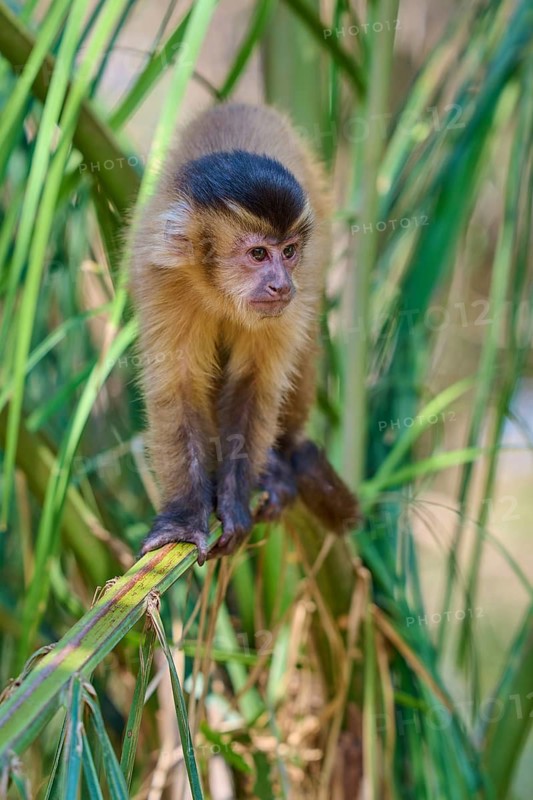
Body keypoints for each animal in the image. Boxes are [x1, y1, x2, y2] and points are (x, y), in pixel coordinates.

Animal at [130, 103, 358, 565]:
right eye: (257, 254)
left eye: (288, 252)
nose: (280, 284)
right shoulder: (163, 275)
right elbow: (178, 387)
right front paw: (185, 518)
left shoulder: (295, 289)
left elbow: (255, 384)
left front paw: (235, 502)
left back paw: (281, 462)